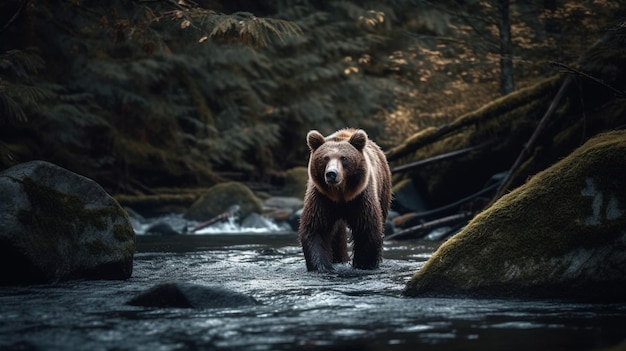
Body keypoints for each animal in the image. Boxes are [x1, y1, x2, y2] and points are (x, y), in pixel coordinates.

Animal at [298, 129, 390, 272]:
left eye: (344, 158)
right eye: (325, 158)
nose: (331, 173)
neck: (341, 194)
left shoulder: (361, 198)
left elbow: (367, 230)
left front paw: (363, 265)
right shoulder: (321, 198)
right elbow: (316, 230)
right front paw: (321, 267)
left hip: (383, 188)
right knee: (336, 234)